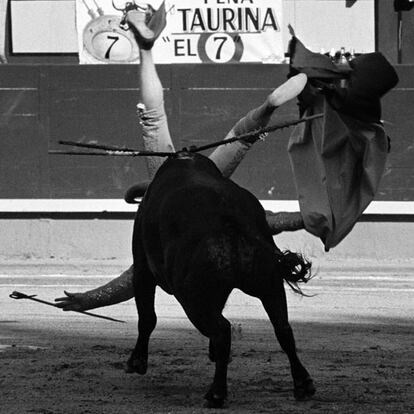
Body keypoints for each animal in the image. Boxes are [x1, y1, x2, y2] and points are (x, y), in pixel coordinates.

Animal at [126, 152, 314, 408]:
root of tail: (229, 216)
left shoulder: (143, 270)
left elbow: (147, 318)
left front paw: (137, 362)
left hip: (192, 298)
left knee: (222, 330)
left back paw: (216, 393)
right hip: (269, 285)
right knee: (282, 329)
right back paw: (303, 384)